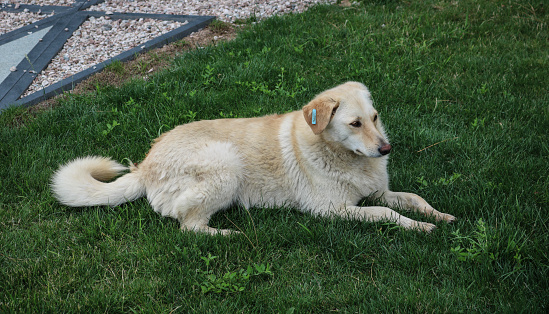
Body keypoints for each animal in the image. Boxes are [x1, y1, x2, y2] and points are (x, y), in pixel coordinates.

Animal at [51, 81, 454, 233]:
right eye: (354, 124)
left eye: (374, 118)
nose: (386, 149)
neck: (340, 155)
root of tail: (146, 165)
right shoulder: (331, 209)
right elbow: (387, 213)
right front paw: (419, 227)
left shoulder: (377, 191)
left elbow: (413, 198)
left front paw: (439, 215)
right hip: (226, 164)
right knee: (188, 225)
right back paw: (228, 233)